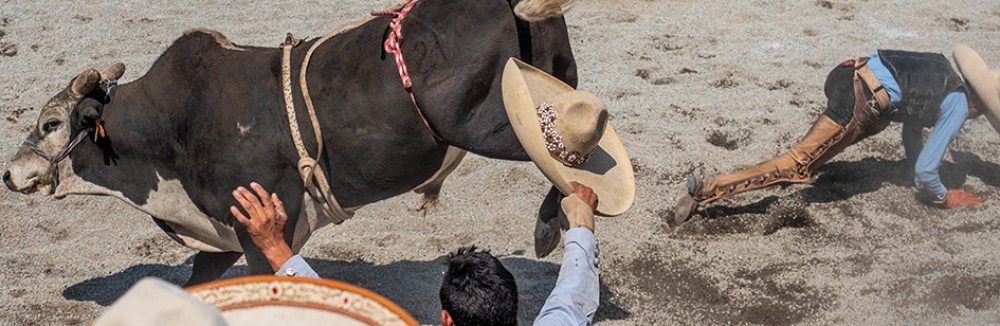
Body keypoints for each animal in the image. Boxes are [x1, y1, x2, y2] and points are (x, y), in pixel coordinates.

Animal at [1, 0, 580, 286]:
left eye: (51, 123)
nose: (10, 172)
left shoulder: (260, 233)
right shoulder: (222, 238)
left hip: (492, 123)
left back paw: (550, 227)